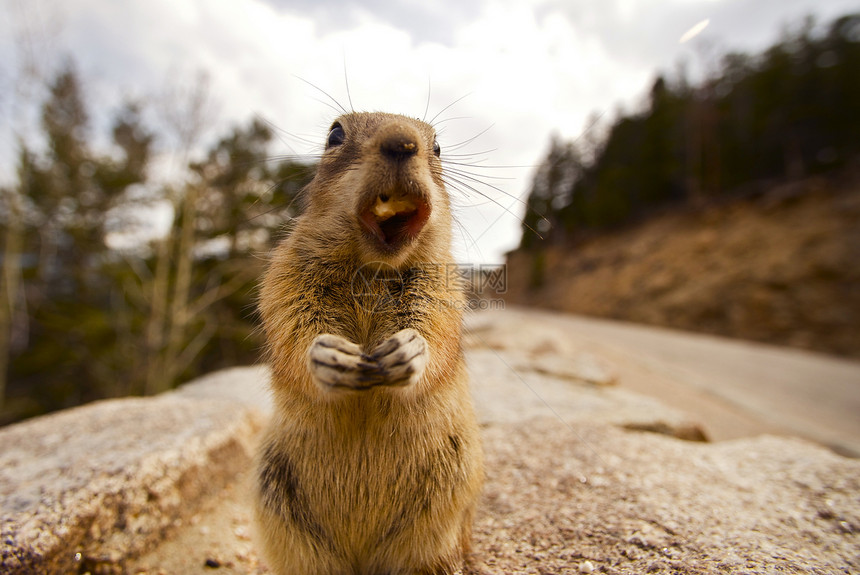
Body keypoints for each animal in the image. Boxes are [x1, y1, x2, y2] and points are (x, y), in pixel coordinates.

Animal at [254, 112, 484, 575]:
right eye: (334, 134)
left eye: (438, 147)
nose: (402, 142)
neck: (373, 268)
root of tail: (360, 556)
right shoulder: (285, 277)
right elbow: (292, 330)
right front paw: (329, 355)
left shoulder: (443, 286)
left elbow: (436, 330)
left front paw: (408, 350)